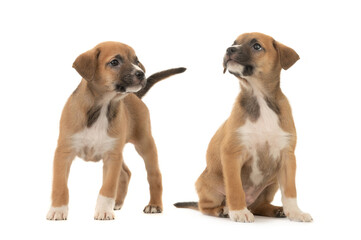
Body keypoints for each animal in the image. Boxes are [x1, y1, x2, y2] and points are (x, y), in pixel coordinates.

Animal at [45, 40, 186, 219]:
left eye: (136, 60)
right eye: (114, 62)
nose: (141, 74)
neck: (103, 106)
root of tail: (136, 96)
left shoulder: (112, 157)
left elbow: (108, 187)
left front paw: (104, 211)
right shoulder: (64, 153)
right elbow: (60, 186)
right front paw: (58, 210)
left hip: (145, 144)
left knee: (154, 175)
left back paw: (154, 204)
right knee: (126, 173)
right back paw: (117, 203)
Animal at [174, 32, 310, 223]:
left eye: (256, 46)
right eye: (234, 43)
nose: (229, 49)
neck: (259, 98)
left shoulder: (287, 157)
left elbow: (290, 190)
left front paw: (296, 212)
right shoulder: (232, 154)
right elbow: (235, 188)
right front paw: (238, 211)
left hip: (273, 182)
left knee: (260, 205)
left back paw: (276, 210)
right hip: (208, 186)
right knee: (204, 206)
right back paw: (223, 210)